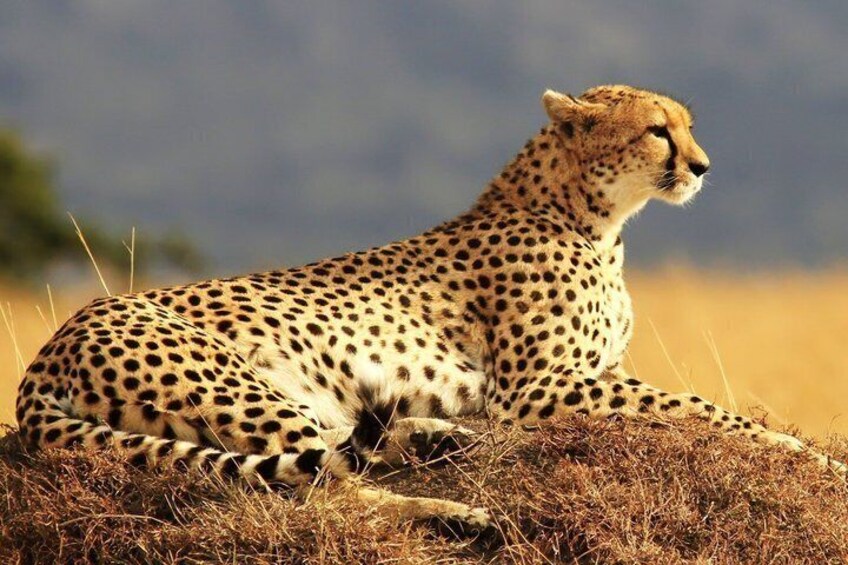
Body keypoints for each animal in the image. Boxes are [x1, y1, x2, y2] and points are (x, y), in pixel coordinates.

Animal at [15, 84, 844, 535]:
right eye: (657, 130)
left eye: (688, 125)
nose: (702, 166)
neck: (592, 216)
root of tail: (50, 345)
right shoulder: (537, 389)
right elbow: (696, 406)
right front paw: (803, 452)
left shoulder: (578, 377)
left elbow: (688, 404)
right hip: (234, 383)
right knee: (318, 489)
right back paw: (455, 511)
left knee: (340, 448)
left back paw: (440, 441)